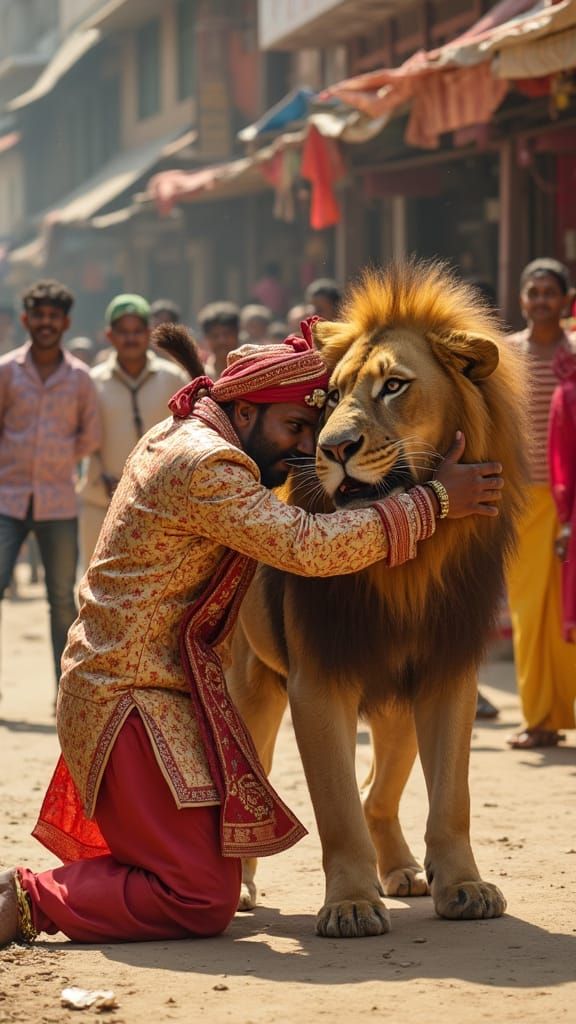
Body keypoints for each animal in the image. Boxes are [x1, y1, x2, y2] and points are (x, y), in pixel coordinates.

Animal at [225, 259, 528, 939]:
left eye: (393, 386)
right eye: (332, 396)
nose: (334, 449)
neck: (408, 567)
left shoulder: (447, 669)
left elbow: (451, 798)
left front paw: (463, 886)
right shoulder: (317, 679)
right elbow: (335, 806)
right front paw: (350, 904)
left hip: (394, 704)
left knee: (378, 795)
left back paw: (405, 872)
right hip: (250, 685)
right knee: (259, 782)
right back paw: (242, 887)